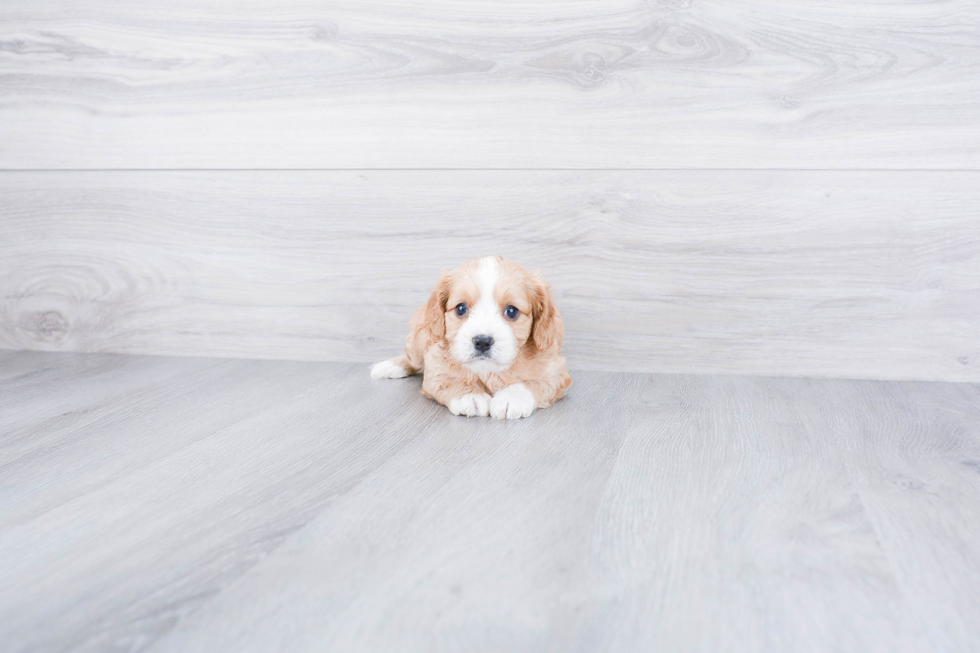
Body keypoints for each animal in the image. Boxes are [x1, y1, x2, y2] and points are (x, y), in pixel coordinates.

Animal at [376, 255, 576, 418]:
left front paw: (511, 398)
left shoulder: (555, 371)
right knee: (412, 359)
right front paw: (469, 396)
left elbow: (530, 382)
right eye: (461, 308)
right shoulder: (435, 366)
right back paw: (389, 366)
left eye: (511, 311)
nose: (482, 341)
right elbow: (446, 379)